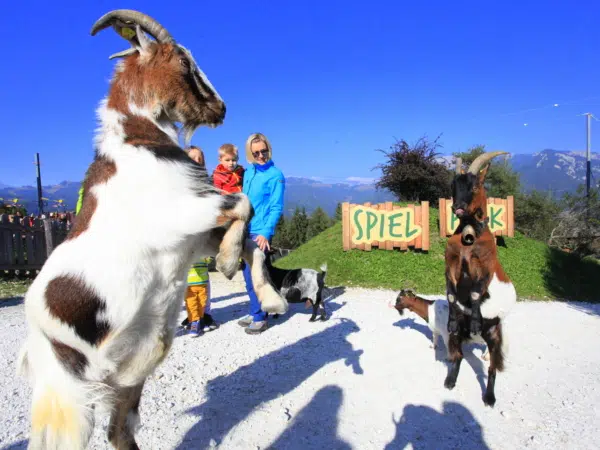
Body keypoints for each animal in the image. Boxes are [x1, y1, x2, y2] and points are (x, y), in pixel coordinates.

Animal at [14, 9, 286, 446]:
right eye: (183, 61)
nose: (220, 107)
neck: (137, 141)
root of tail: (35, 341)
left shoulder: (194, 236)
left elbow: (252, 244)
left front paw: (271, 298)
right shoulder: (182, 214)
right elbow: (243, 206)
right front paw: (228, 263)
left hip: (125, 380)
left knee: (118, 432)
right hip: (69, 395)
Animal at [442, 152, 516, 408]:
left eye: (474, 186)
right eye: (453, 186)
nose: (458, 208)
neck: (469, 236)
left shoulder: (485, 266)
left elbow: (475, 292)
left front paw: (475, 321)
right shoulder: (451, 263)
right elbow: (451, 294)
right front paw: (452, 320)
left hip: (495, 332)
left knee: (493, 366)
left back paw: (490, 397)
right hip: (460, 337)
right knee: (458, 356)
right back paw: (450, 380)